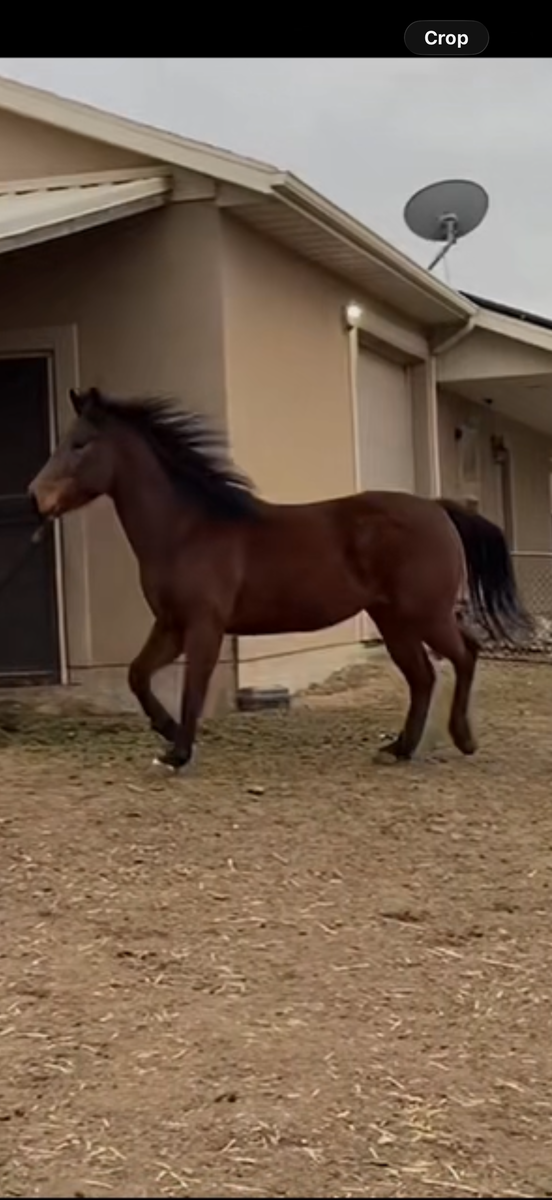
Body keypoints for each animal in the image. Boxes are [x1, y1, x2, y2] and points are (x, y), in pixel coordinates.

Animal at [28, 387, 530, 773]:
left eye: (80, 443)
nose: (36, 497)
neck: (187, 529)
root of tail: (438, 509)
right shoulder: (170, 625)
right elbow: (137, 675)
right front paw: (167, 733)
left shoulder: (204, 626)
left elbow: (193, 689)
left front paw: (177, 752)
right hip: (394, 620)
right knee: (424, 675)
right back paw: (399, 749)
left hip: (423, 614)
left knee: (464, 654)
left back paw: (462, 738)